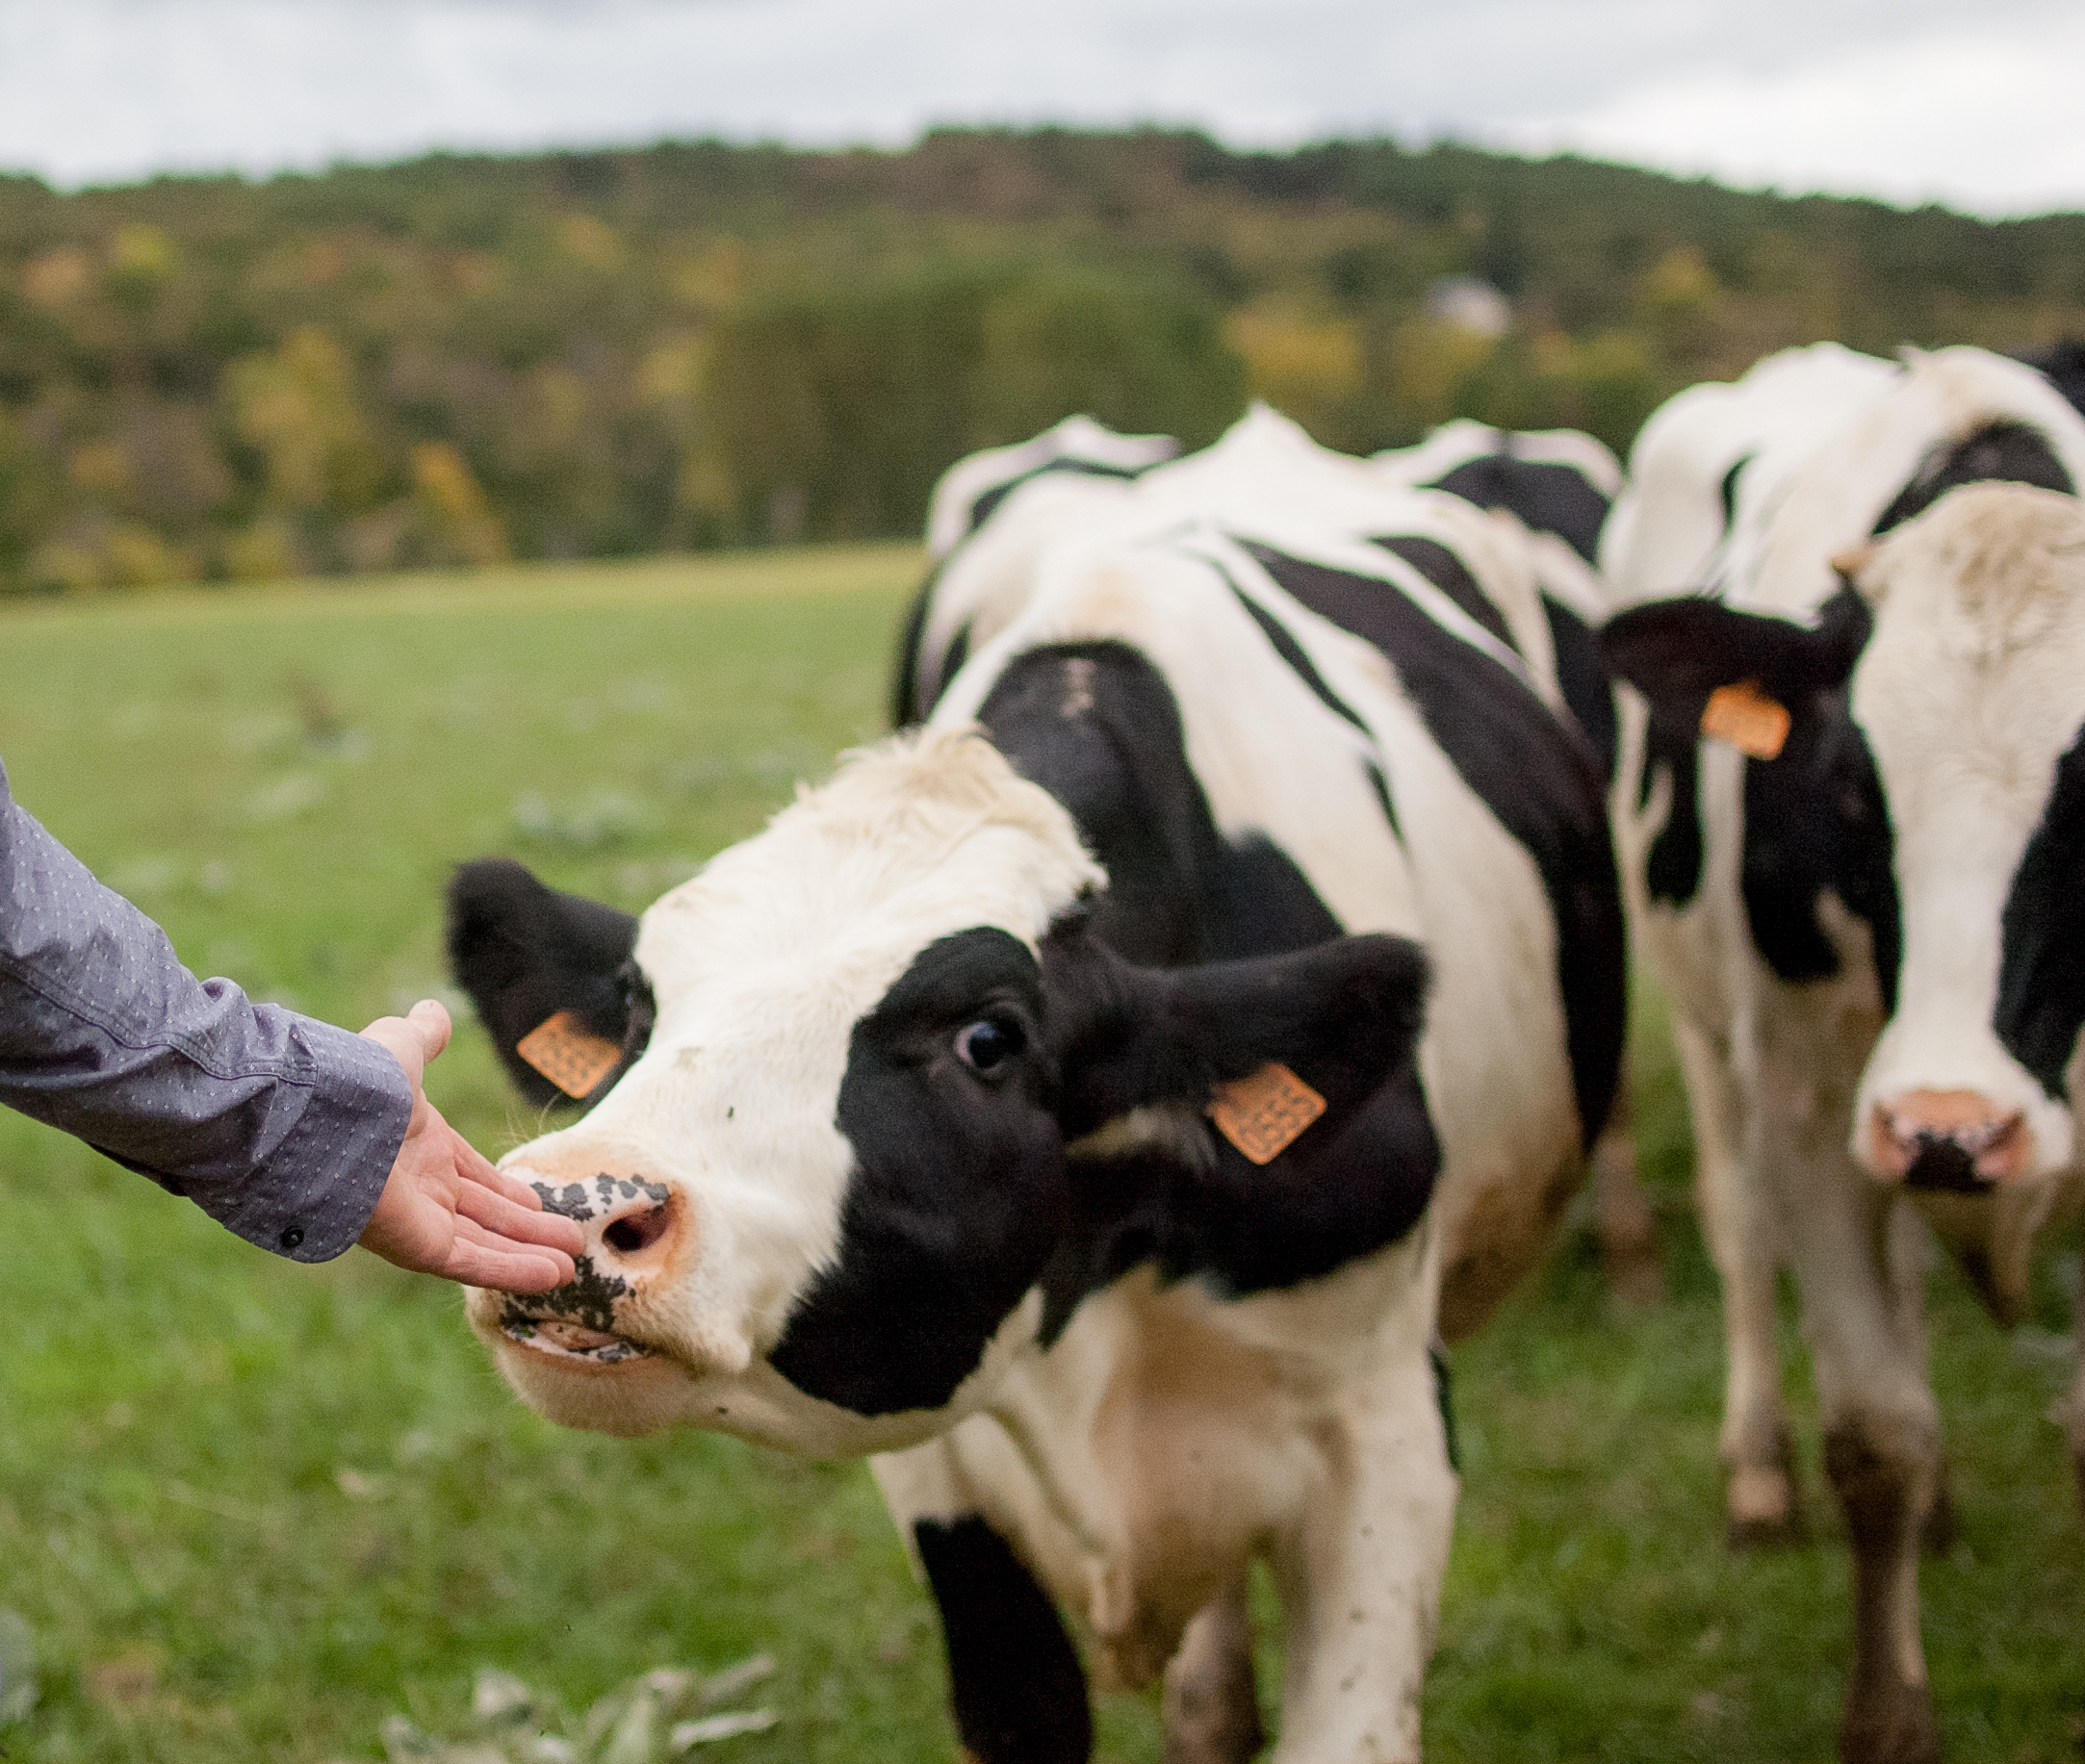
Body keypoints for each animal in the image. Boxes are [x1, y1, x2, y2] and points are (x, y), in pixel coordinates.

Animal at [1592, 342, 2085, 1764]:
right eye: (1848, 784)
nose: (1955, 1120)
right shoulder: (1813, 1106)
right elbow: (1875, 1434)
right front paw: (1885, 1716)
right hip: (1714, 1037)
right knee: (1739, 1229)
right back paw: (1757, 1476)